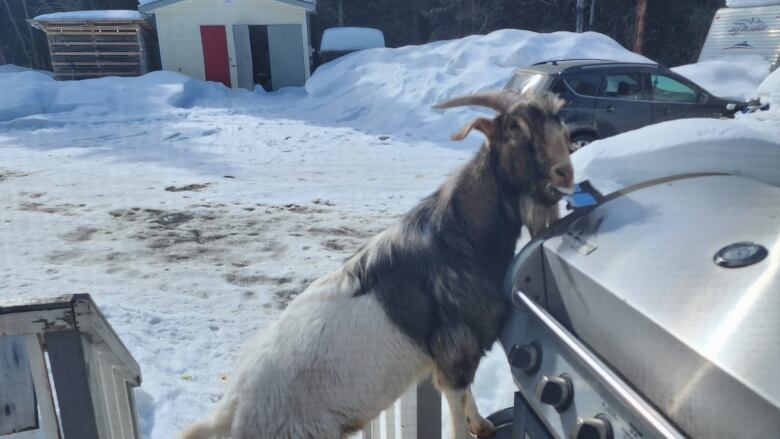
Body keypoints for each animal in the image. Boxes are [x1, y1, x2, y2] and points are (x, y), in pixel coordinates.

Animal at [180, 91, 576, 439]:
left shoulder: (454, 356)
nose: (565, 173)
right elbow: (457, 403)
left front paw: (483, 424)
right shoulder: (455, 353)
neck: (461, 235)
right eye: (516, 130)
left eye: (561, 122)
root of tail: (231, 411)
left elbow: (466, 397)